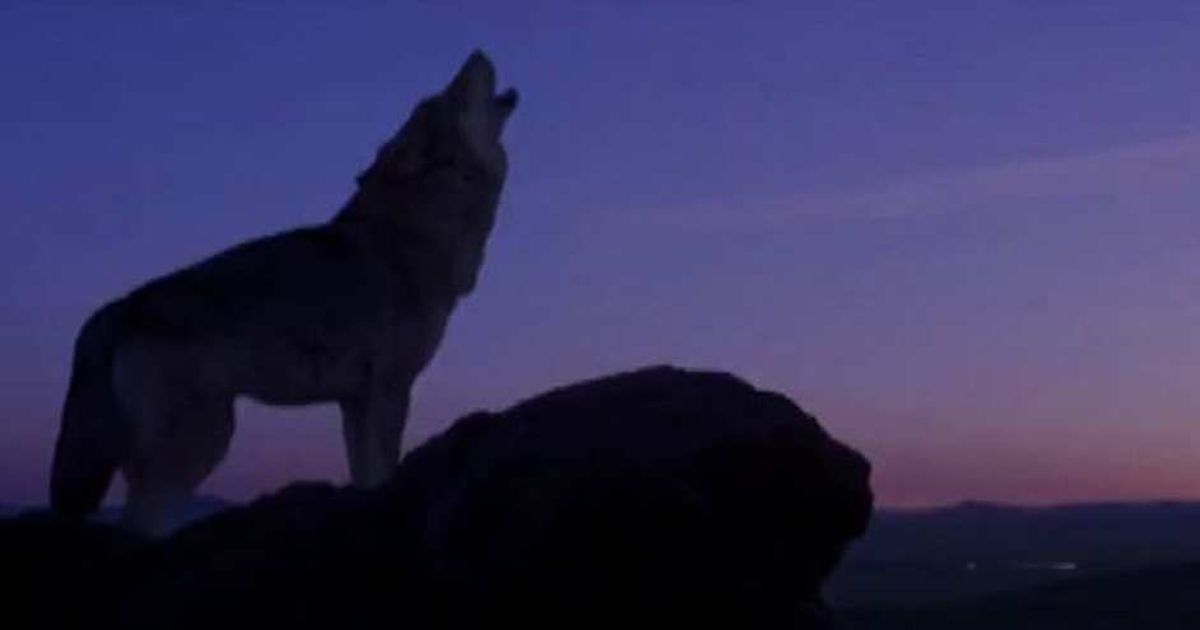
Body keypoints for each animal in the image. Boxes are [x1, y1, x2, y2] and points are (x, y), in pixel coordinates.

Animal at [49, 51, 518, 535]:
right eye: (453, 91)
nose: (477, 52)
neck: (416, 234)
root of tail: (116, 307)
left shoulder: (355, 402)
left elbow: (365, 476)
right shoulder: (388, 390)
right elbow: (383, 474)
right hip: (203, 442)